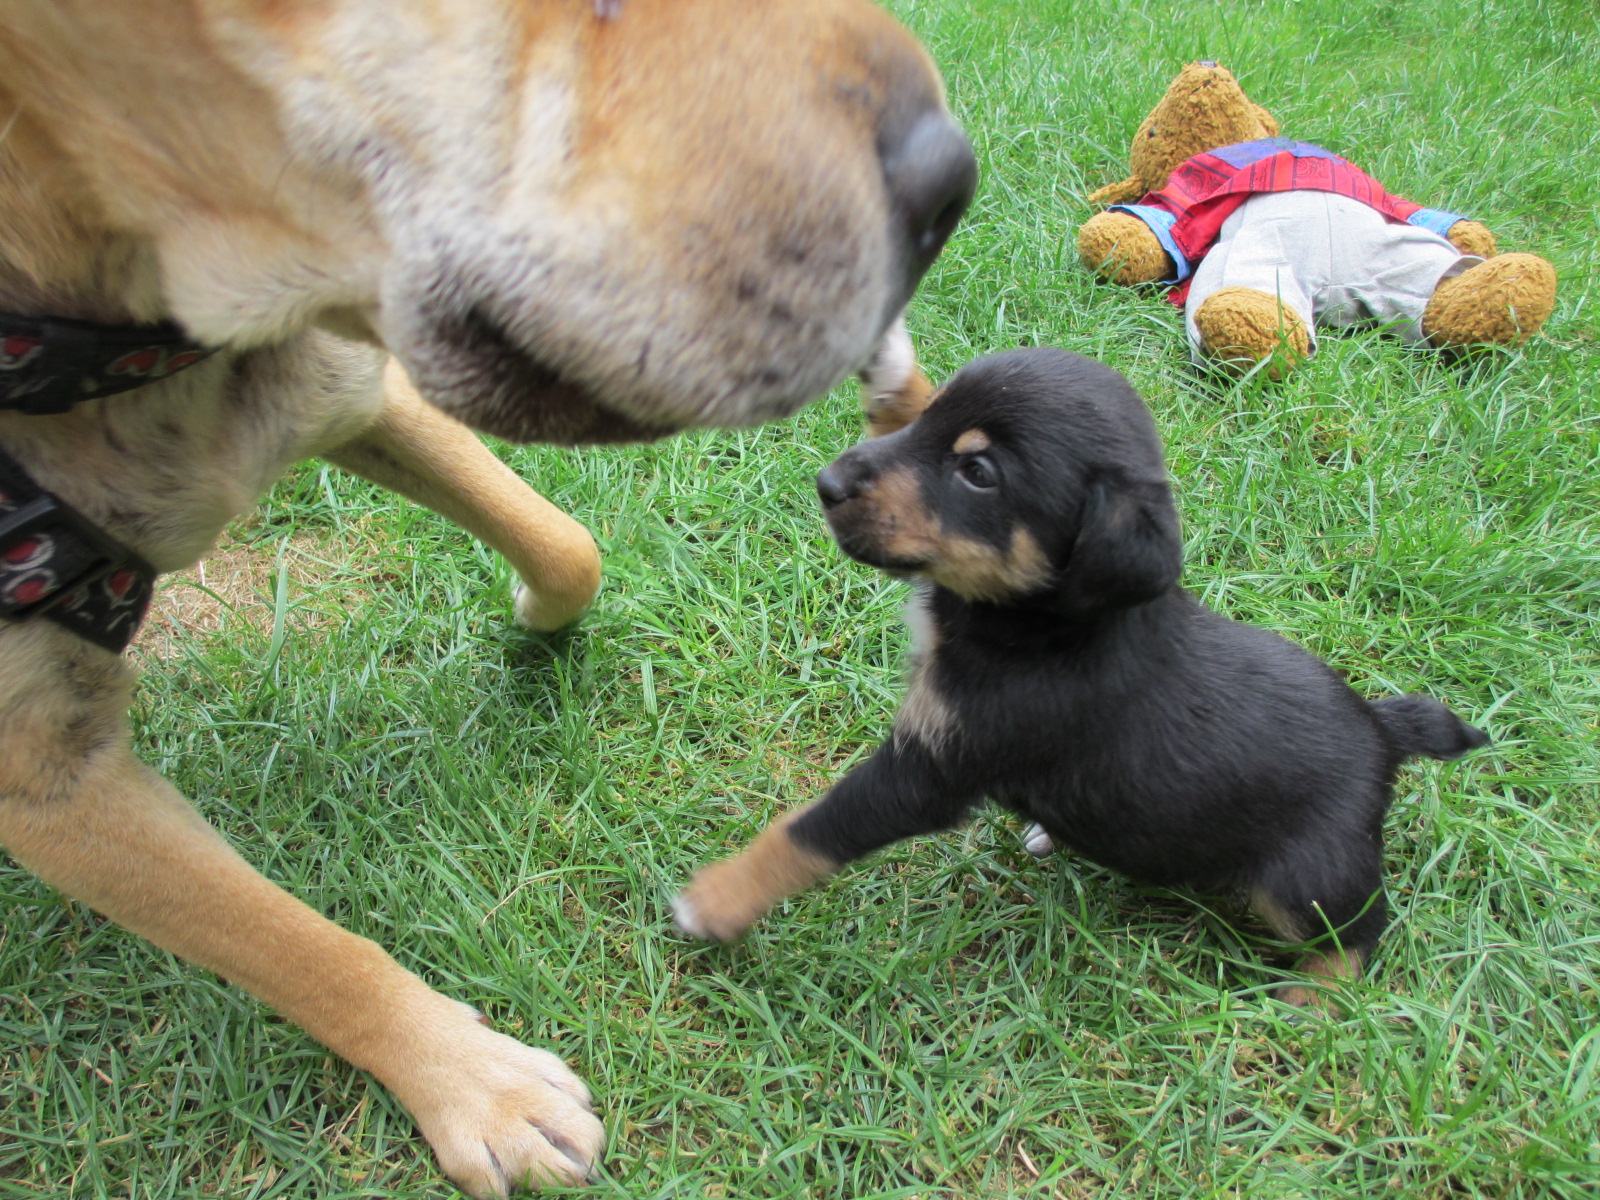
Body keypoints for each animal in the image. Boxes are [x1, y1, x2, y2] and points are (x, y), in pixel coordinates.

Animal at [0, 0, 966, 1196]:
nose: (949, 177)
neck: (139, 360)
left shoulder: (352, 390)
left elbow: (568, 542)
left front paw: (530, 623)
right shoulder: (48, 781)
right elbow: (296, 946)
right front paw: (476, 1086)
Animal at [675, 347, 1484, 1004]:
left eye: (978, 473)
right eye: (936, 421)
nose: (830, 480)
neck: (1036, 623)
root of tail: (1382, 729)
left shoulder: (935, 767)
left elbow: (811, 829)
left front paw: (715, 901)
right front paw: (895, 371)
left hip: (1305, 877)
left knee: (1360, 929)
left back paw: (1314, 1002)